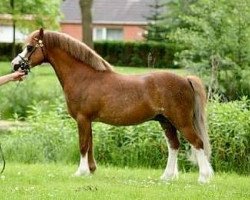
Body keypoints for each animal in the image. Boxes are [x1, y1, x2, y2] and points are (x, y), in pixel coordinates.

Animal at [10, 28, 212, 183]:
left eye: (30, 47)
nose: (15, 65)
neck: (84, 77)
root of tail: (185, 79)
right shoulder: (88, 121)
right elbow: (90, 144)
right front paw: (91, 170)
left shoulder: (82, 119)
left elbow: (83, 145)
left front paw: (80, 172)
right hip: (166, 122)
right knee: (174, 146)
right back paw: (167, 177)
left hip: (182, 121)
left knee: (197, 143)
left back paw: (203, 178)